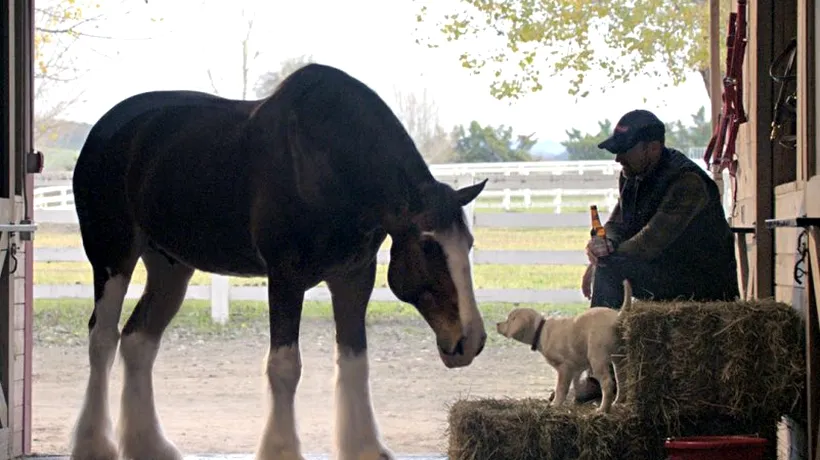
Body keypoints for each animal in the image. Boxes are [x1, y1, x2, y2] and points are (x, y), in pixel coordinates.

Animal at [69, 62, 486, 460]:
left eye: (468, 243)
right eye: (429, 246)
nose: (471, 341)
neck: (329, 162)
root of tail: (104, 131)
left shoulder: (353, 278)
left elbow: (355, 361)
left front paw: (365, 448)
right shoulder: (285, 277)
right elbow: (285, 367)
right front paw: (282, 450)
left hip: (170, 268)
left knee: (138, 341)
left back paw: (149, 446)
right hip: (112, 257)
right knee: (102, 339)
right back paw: (94, 445)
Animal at [494, 280, 636, 414]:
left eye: (509, 319)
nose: (497, 324)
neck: (541, 330)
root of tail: (617, 318)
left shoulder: (564, 367)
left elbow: (561, 388)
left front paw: (555, 404)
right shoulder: (576, 367)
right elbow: (576, 383)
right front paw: (576, 399)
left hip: (597, 357)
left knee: (608, 383)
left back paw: (602, 409)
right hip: (619, 357)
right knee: (622, 380)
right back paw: (617, 402)